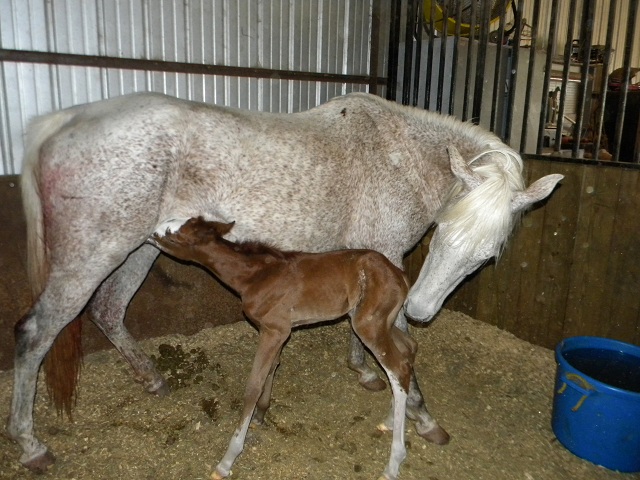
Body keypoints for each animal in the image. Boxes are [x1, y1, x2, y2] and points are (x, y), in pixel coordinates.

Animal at [152, 218, 418, 480]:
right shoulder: (273, 331)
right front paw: (260, 416)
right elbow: (272, 368)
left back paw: (393, 464)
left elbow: (253, 385)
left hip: (368, 325)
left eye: (175, 235)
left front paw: (226, 461)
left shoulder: (275, 330)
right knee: (408, 348)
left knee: (398, 367)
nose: (152, 233)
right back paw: (391, 420)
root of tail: (401, 275)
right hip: (376, 321)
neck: (255, 277)